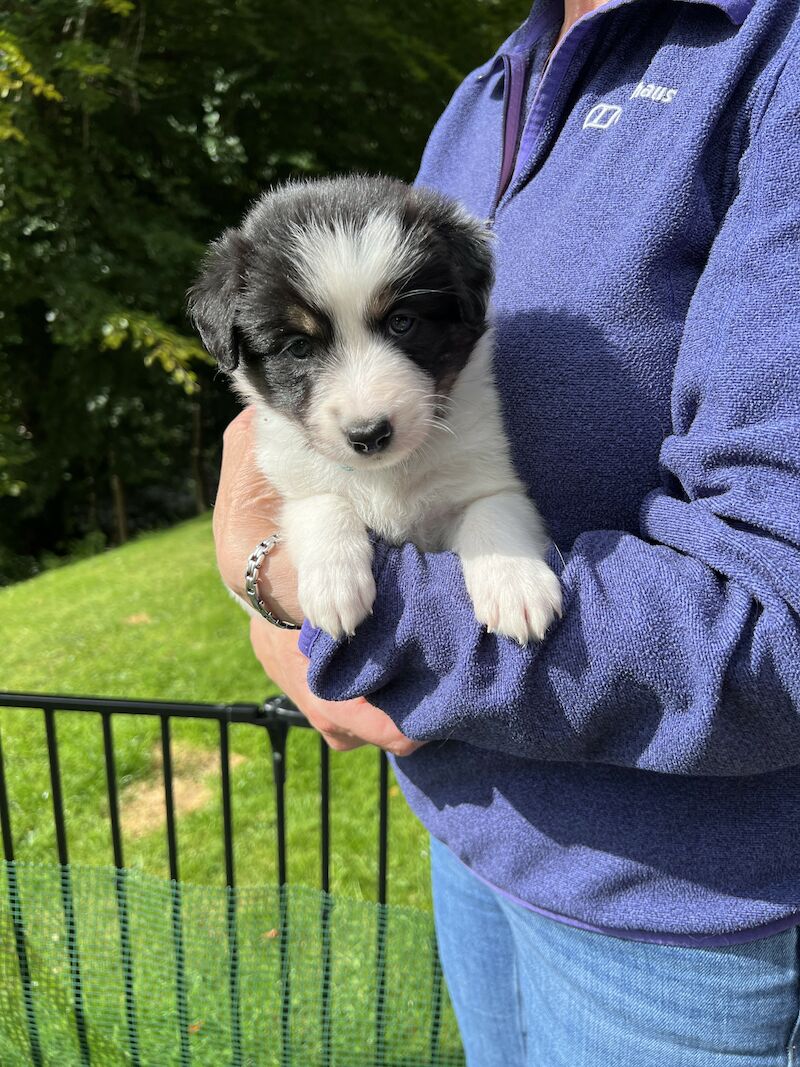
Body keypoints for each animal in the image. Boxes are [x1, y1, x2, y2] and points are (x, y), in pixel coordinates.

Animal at [192, 177, 563, 640]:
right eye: (298, 347)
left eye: (401, 322)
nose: (369, 435)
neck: (387, 476)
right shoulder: (293, 477)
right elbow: (322, 501)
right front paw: (334, 585)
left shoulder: (485, 474)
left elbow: (492, 509)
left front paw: (516, 583)